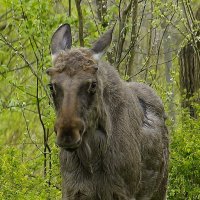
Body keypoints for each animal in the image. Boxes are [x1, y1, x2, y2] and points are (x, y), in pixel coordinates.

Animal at [46, 23, 169, 200]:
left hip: (160, 189)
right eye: (51, 86)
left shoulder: (122, 191)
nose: (68, 133)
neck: (92, 157)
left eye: (93, 84)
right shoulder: (73, 190)